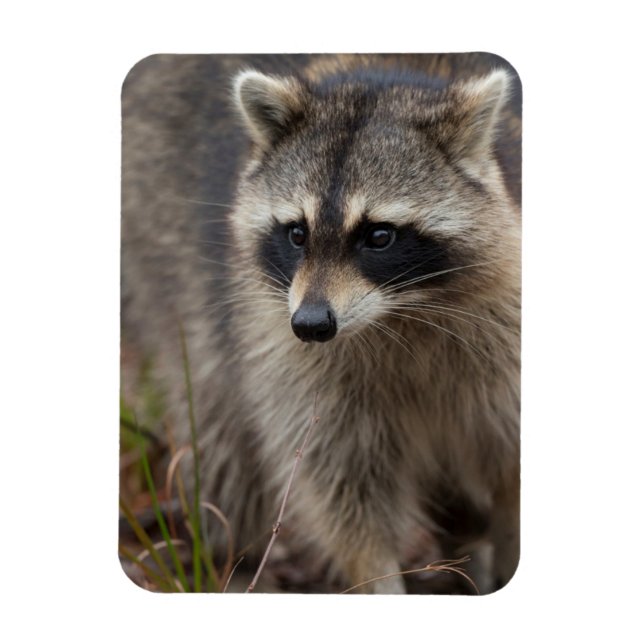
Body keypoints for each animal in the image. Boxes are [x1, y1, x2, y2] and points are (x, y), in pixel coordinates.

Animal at [121, 54, 521, 594]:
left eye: (379, 236)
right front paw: (379, 578)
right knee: (218, 420)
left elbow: (511, 473)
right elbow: (343, 489)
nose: (311, 324)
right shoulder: (284, 347)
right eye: (296, 233)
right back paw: (238, 561)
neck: (400, 311)